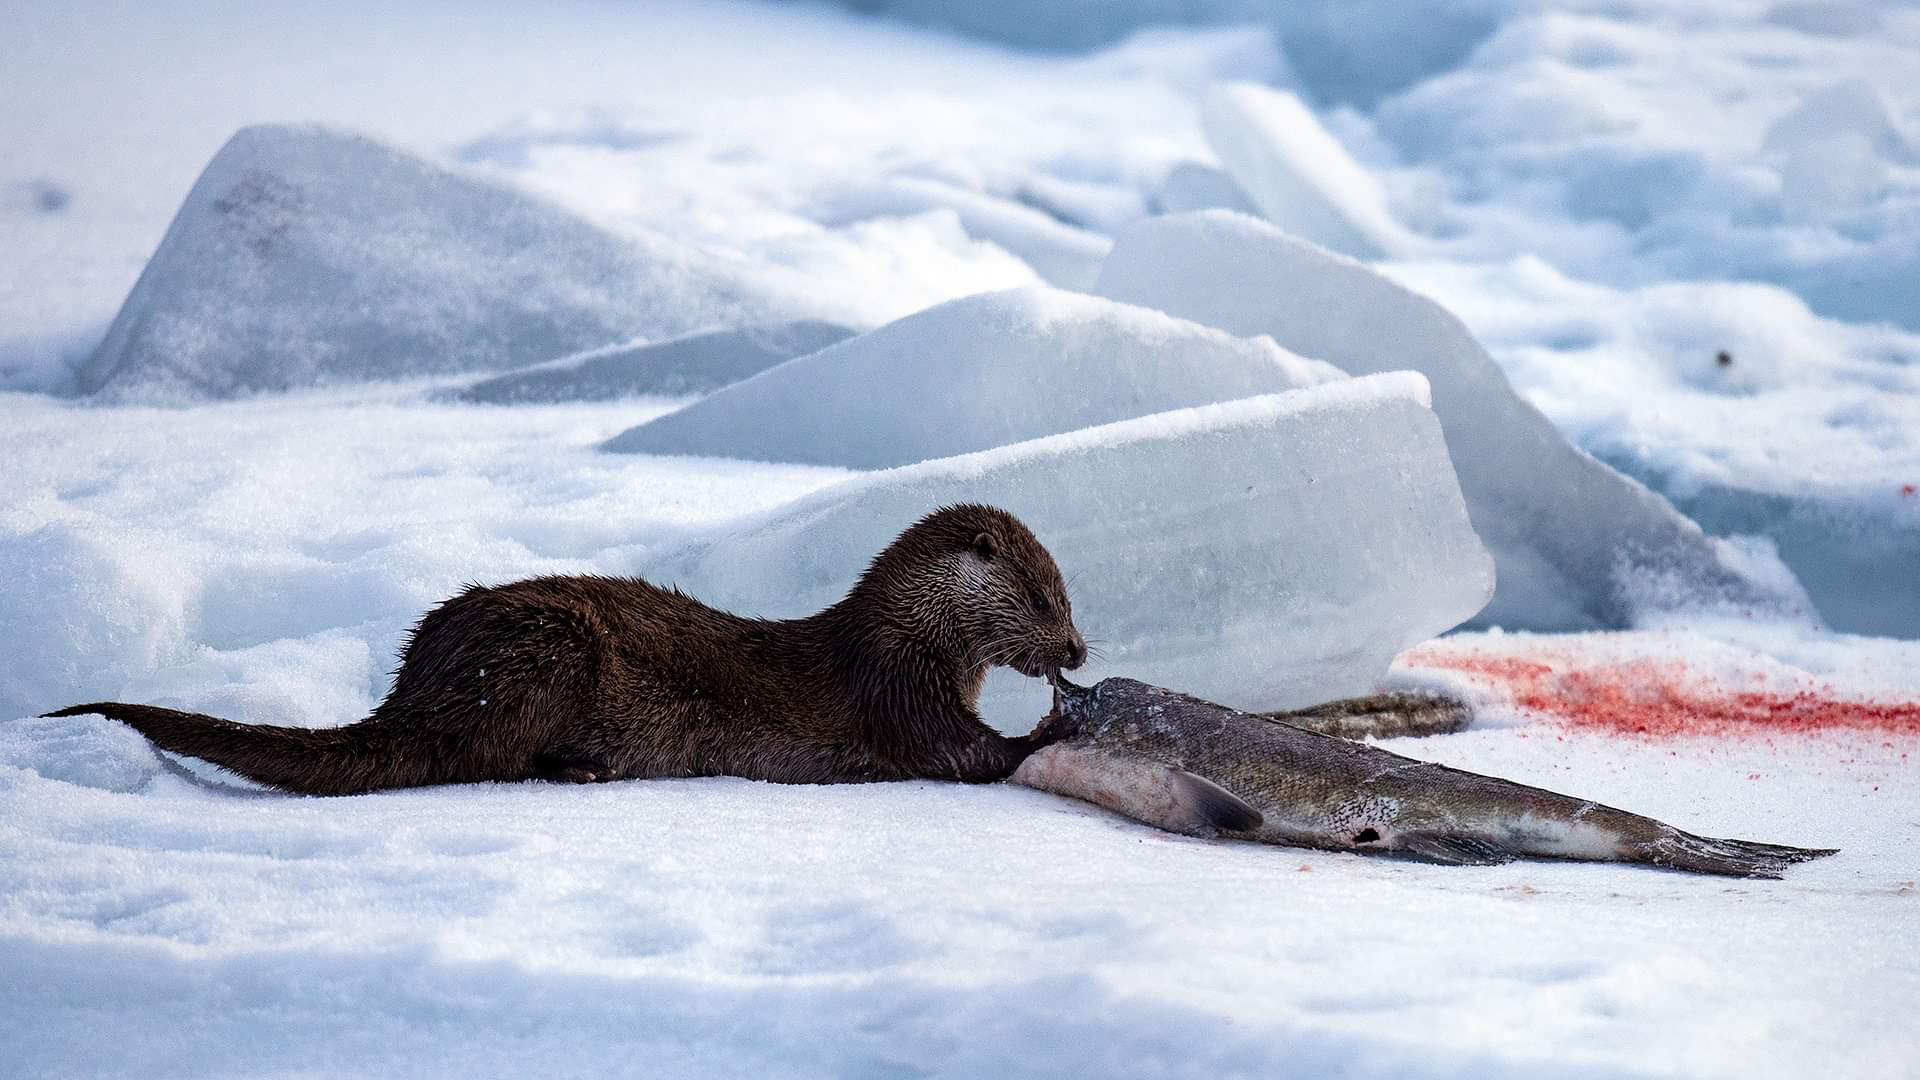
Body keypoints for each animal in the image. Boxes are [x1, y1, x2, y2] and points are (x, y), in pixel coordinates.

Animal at [46, 504, 1088, 795]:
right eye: (1045, 597)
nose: (1078, 649)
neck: (905, 636)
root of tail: (415, 683)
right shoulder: (895, 690)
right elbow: (960, 753)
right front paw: (1046, 736)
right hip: (546, 654)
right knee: (480, 758)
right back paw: (578, 769)